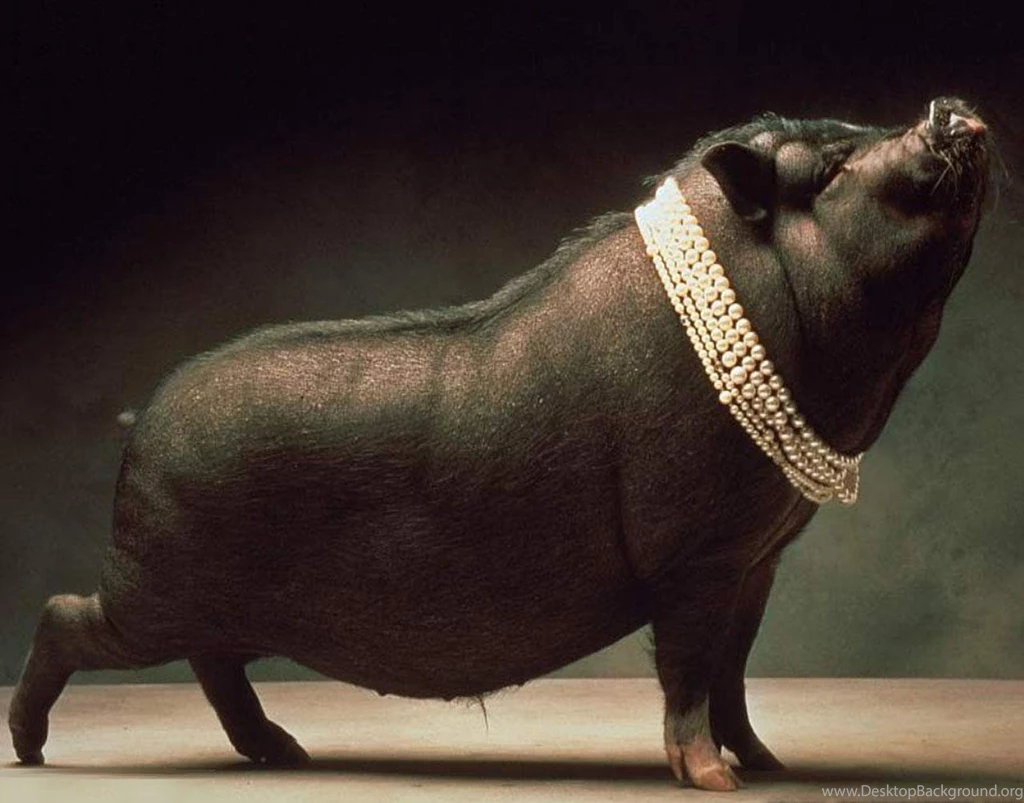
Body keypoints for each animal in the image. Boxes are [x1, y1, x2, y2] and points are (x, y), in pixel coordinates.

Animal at [9, 97, 989, 792]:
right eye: (829, 168)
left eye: (853, 132)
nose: (950, 105)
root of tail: (143, 420)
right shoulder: (696, 559)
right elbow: (689, 669)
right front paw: (713, 779)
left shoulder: (757, 560)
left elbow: (735, 673)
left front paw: (767, 763)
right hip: (154, 586)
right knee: (64, 615)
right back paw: (32, 751)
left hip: (197, 600)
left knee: (214, 666)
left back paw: (284, 752)